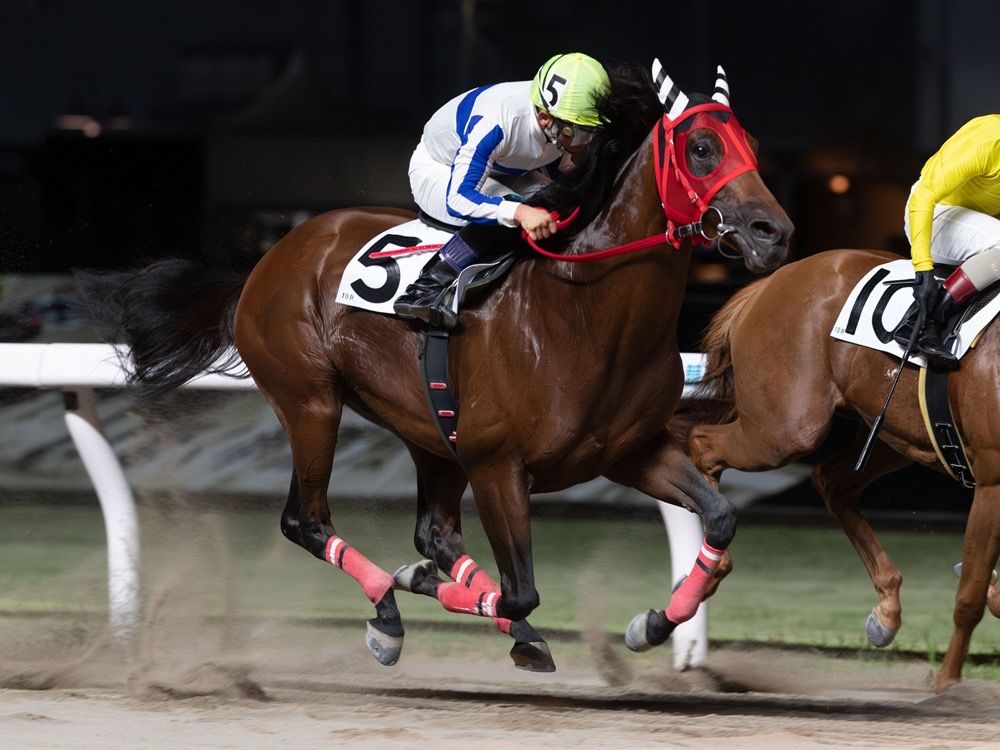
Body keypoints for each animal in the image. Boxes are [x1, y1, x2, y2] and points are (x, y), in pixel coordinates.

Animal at [77, 61, 792, 671]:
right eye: (701, 148)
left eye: (752, 143)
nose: (773, 232)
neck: (585, 313)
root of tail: (266, 260)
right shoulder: (498, 464)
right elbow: (521, 590)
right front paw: (476, 610)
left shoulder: (627, 451)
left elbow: (719, 519)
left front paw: (653, 623)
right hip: (311, 401)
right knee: (308, 520)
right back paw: (389, 614)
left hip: (427, 428)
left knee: (434, 534)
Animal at [683, 247, 1000, 691]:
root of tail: (772, 281)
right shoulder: (992, 480)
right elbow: (969, 595)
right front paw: (946, 685)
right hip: (785, 428)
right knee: (703, 443)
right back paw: (711, 567)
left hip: (894, 431)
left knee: (832, 481)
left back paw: (886, 610)